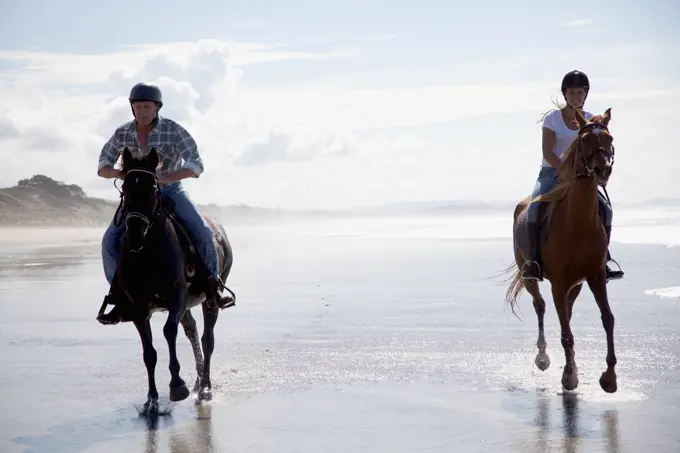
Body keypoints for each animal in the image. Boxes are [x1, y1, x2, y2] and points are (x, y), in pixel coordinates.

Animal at [508, 108, 620, 392]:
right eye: (584, 139)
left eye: (609, 137)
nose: (602, 169)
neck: (577, 223)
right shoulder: (558, 283)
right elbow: (567, 333)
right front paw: (569, 377)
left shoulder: (595, 277)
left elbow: (607, 319)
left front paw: (609, 377)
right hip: (531, 277)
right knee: (540, 306)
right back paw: (542, 357)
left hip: (576, 284)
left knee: (566, 313)